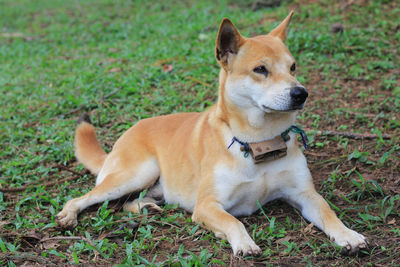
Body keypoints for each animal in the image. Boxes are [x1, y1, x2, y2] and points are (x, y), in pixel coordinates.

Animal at [57, 12, 368, 258]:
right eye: (260, 69)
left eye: (293, 67)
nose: (301, 93)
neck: (259, 142)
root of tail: (126, 134)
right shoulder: (207, 205)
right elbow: (233, 221)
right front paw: (243, 243)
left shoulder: (304, 193)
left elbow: (328, 212)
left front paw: (348, 235)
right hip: (136, 174)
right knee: (84, 198)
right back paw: (69, 214)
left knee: (127, 203)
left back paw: (148, 207)